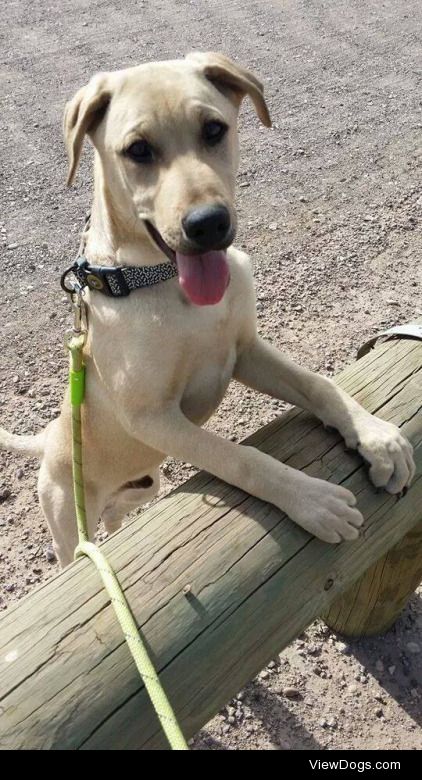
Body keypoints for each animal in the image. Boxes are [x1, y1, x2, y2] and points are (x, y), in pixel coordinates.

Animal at [0, 54, 416, 568]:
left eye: (214, 129)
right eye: (138, 150)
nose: (209, 224)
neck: (161, 283)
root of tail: (50, 438)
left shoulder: (245, 351)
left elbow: (320, 385)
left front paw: (376, 437)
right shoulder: (153, 417)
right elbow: (240, 458)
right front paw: (312, 500)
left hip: (143, 483)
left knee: (119, 512)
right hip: (66, 515)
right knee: (77, 550)